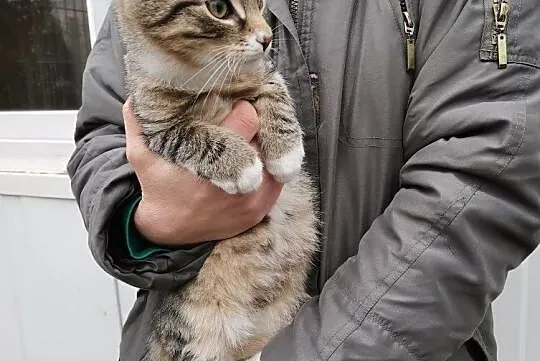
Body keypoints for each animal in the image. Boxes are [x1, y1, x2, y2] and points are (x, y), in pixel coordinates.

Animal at [116, 0, 318, 360]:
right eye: (219, 8)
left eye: (262, 4)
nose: (267, 39)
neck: (205, 74)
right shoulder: (156, 125)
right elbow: (193, 135)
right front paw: (242, 166)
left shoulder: (264, 71)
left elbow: (275, 89)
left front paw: (286, 152)